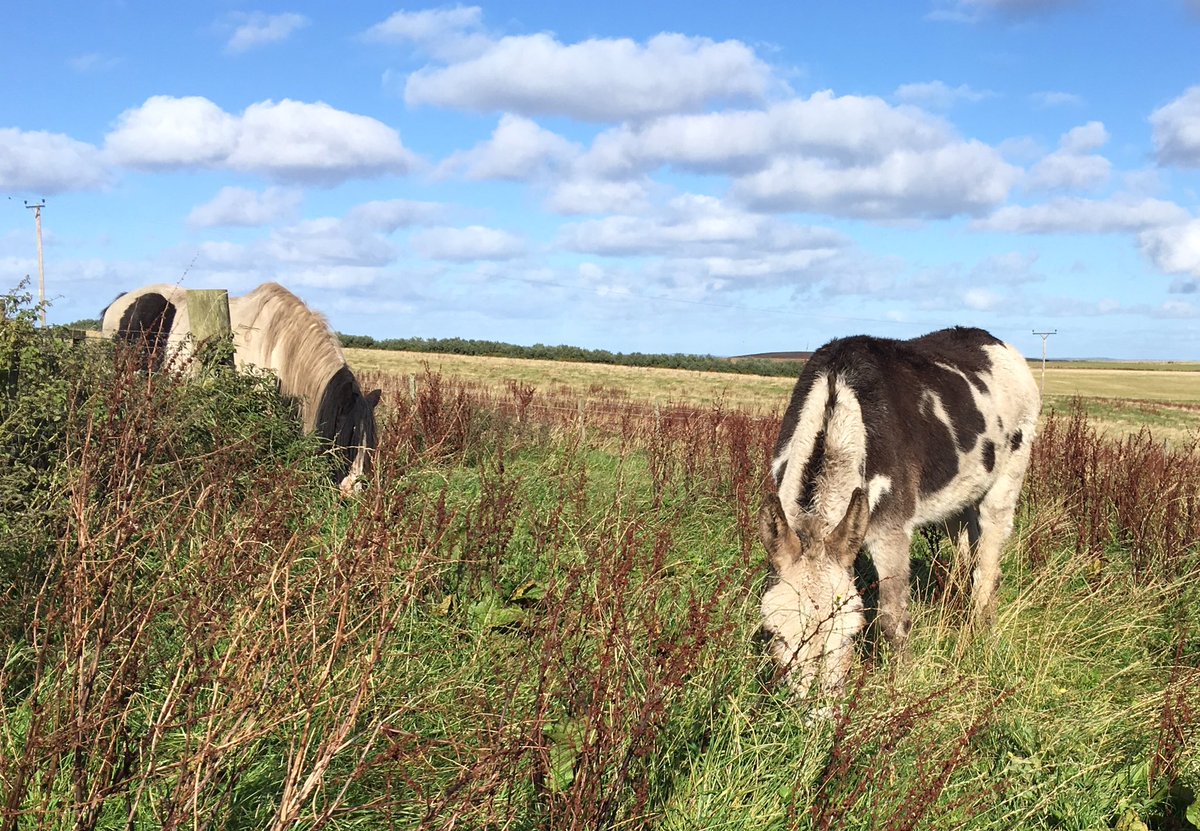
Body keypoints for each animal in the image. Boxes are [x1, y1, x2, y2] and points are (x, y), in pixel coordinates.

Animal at [758, 326, 1040, 700]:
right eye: (774, 633)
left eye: (851, 634)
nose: (814, 709)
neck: (835, 398)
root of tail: (995, 341)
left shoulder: (890, 533)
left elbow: (892, 618)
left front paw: (899, 684)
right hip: (957, 498)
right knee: (965, 548)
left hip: (1008, 476)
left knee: (987, 564)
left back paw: (980, 632)